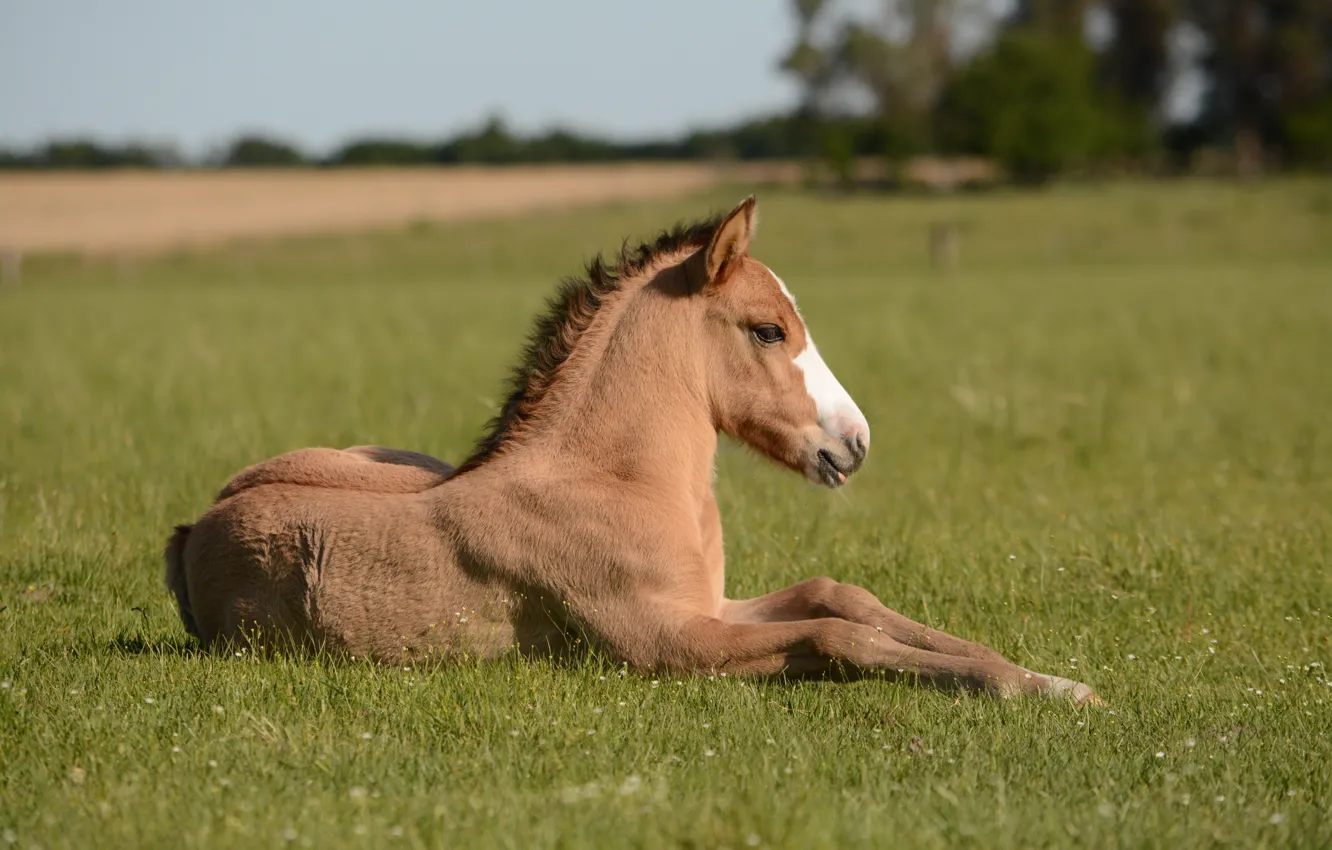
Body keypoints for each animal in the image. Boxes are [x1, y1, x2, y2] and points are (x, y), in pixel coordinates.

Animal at [165, 196, 1100, 705]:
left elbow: (843, 597)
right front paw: (1028, 688)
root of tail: (193, 526)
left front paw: (1048, 679)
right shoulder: (667, 643)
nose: (855, 442)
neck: (615, 482)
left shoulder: (711, 606)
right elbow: (840, 637)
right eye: (768, 329)